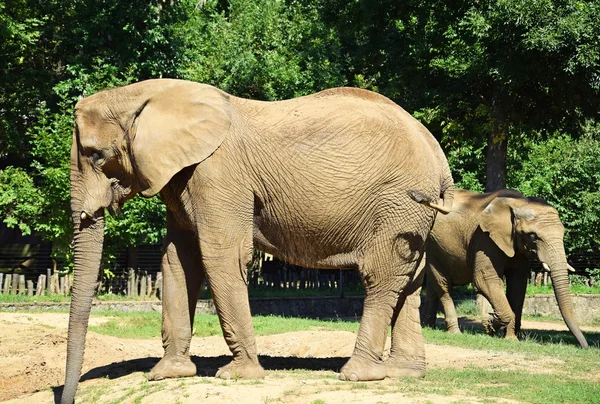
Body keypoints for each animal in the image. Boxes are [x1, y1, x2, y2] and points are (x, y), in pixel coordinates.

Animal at [62, 79, 454, 404]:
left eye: (96, 155)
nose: (68, 397)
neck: (148, 95)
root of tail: (438, 156)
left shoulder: (216, 173)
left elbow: (220, 256)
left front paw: (236, 376)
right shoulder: (181, 177)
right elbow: (178, 260)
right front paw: (166, 374)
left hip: (397, 202)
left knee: (380, 277)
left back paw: (356, 376)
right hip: (411, 214)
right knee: (409, 282)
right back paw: (404, 374)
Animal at [424, 188, 588, 348]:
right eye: (533, 236)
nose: (584, 347)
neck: (520, 203)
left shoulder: (516, 246)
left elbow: (517, 285)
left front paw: (510, 339)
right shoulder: (484, 238)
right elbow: (485, 280)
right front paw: (489, 326)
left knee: (433, 286)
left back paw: (428, 326)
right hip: (433, 245)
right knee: (443, 285)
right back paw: (454, 332)